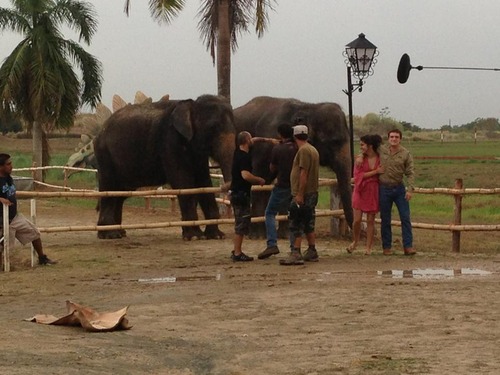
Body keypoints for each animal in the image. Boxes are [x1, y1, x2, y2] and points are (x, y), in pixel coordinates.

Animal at [94, 94, 235, 241]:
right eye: (213, 127)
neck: (192, 104)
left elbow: (204, 182)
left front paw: (217, 236)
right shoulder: (169, 141)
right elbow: (183, 181)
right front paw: (195, 237)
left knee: (120, 193)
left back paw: (120, 232)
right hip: (105, 155)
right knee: (109, 188)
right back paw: (109, 234)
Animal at [233, 97, 354, 238]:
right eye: (335, 142)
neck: (308, 107)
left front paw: (286, 234)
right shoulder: (265, 145)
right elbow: (259, 178)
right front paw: (258, 235)